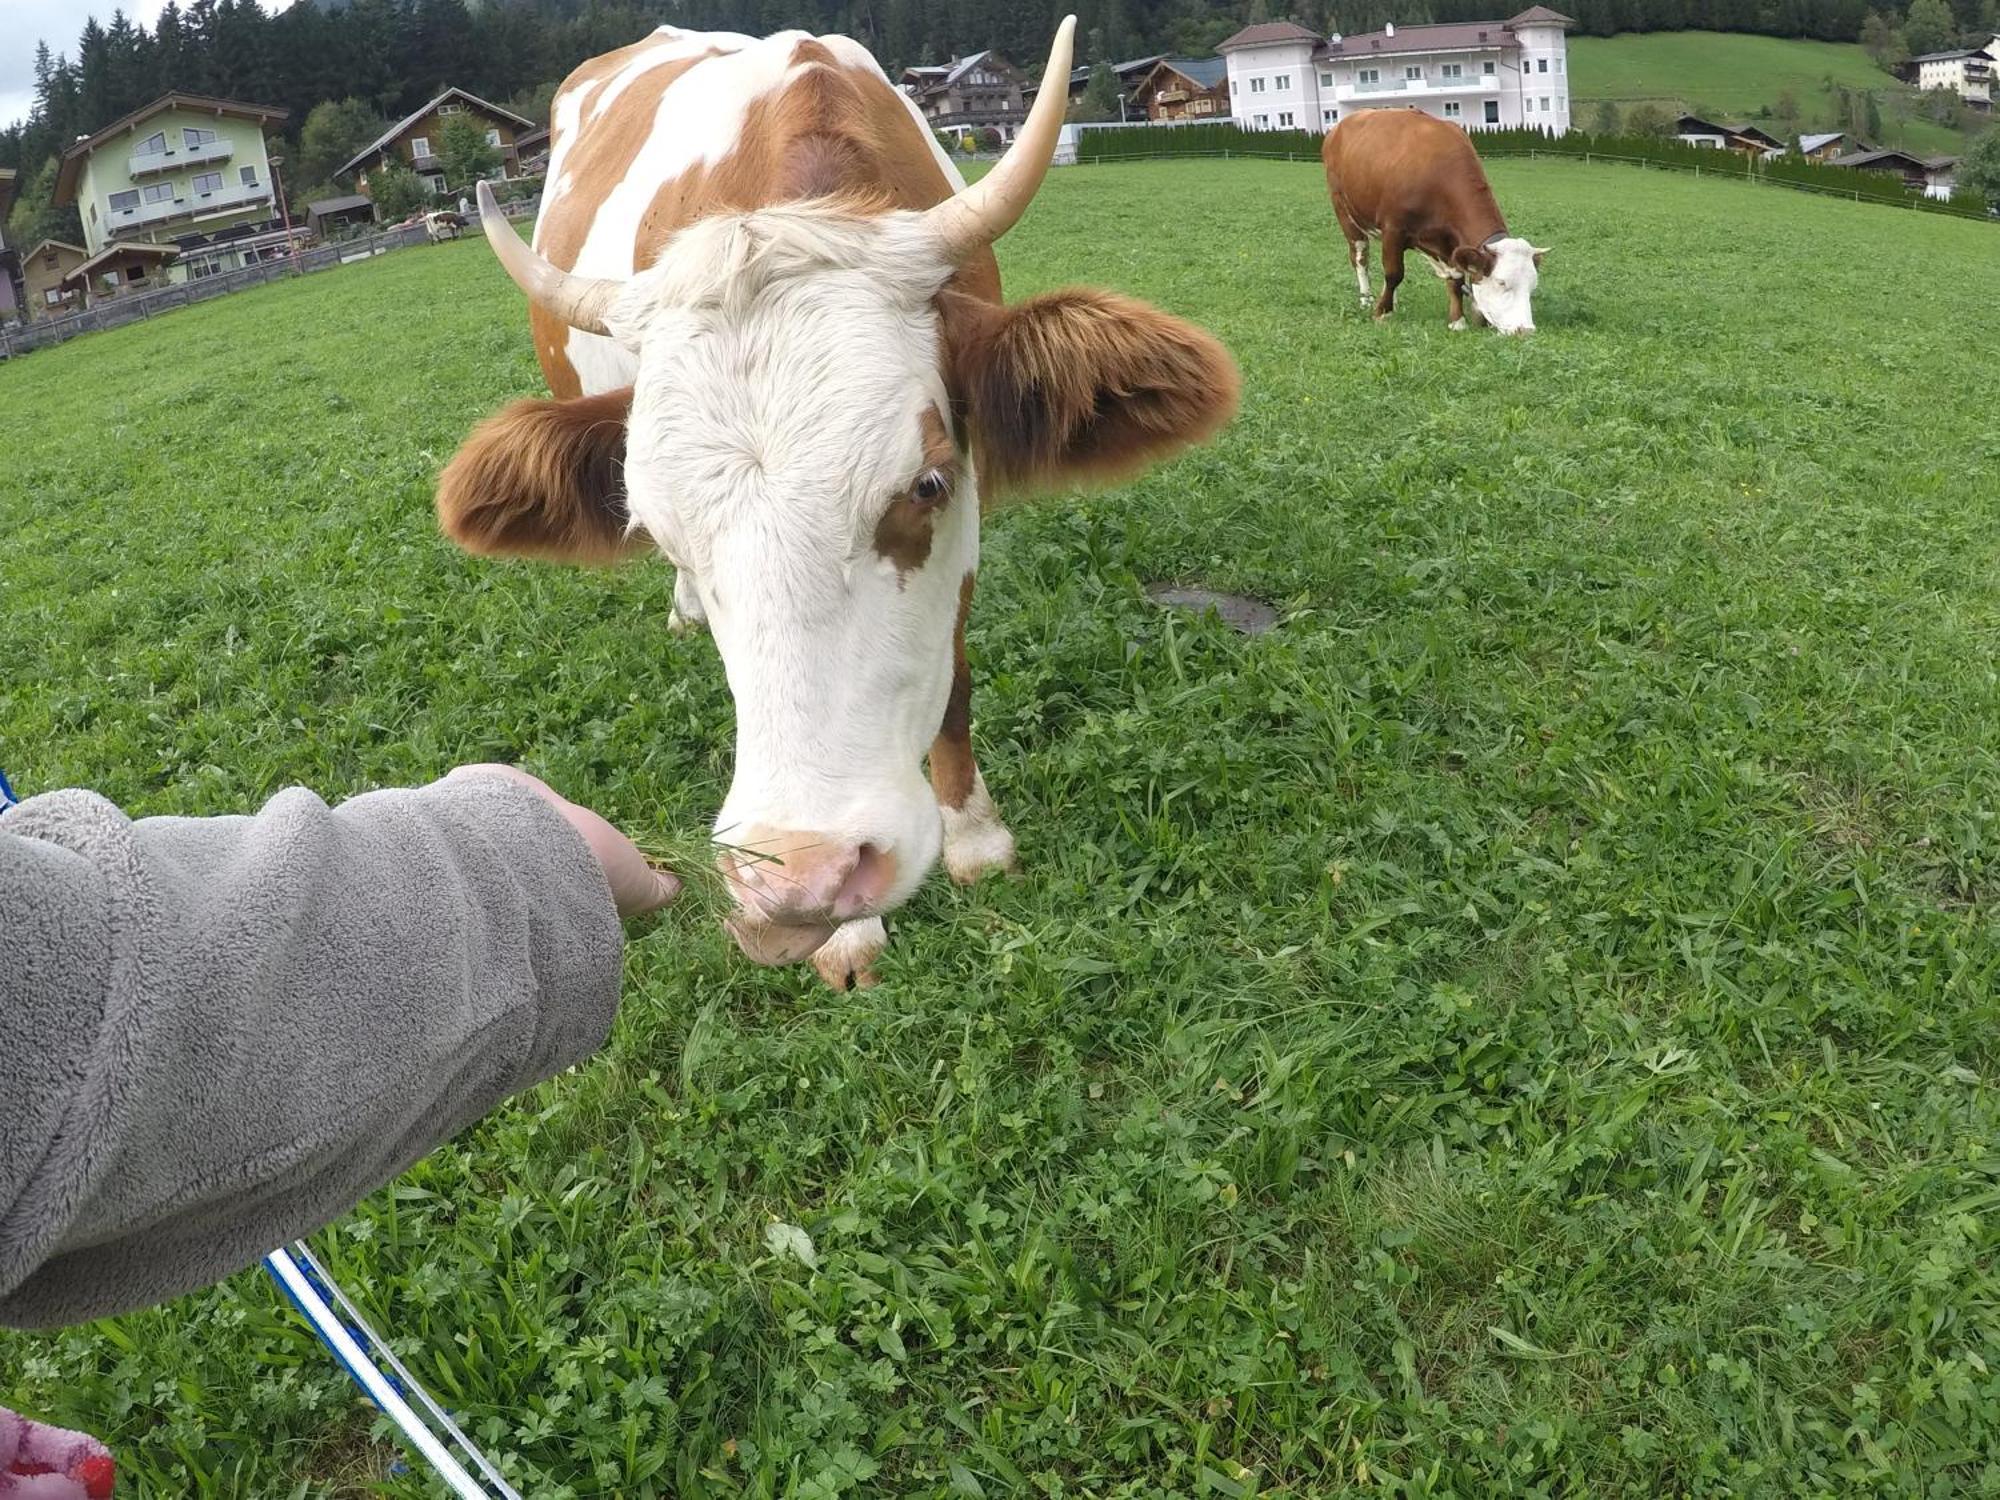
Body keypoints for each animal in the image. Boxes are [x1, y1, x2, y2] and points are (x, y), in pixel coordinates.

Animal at [442, 20, 1232, 1000]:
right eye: (659, 530)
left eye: (926, 485)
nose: (797, 885)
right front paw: (846, 934)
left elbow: (952, 677)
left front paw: (976, 838)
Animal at [1328, 110, 1544, 336]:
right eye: (1501, 283)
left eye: (1532, 286)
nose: (1526, 330)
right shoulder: (1393, 229)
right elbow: (1394, 273)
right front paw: (1382, 313)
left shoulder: (1451, 241)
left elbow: (1456, 279)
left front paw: (1457, 321)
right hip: (1344, 211)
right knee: (1360, 258)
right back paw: (1367, 299)